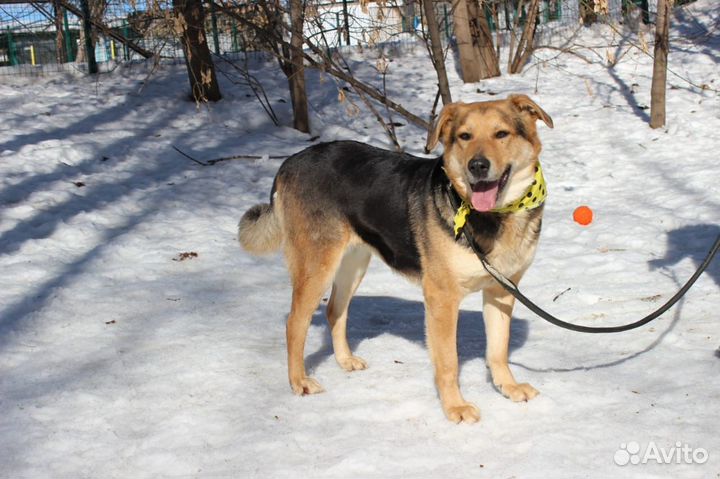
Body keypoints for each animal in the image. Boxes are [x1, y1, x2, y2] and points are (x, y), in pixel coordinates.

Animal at [239, 94, 556, 424]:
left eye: (501, 133)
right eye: (464, 136)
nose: (477, 166)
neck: (493, 216)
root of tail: (289, 162)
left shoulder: (500, 292)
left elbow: (498, 350)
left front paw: (508, 387)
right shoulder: (442, 298)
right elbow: (449, 362)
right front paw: (454, 407)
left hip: (353, 264)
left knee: (334, 311)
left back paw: (344, 360)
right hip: (317, 266)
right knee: (294, 323)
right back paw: (299, 380)